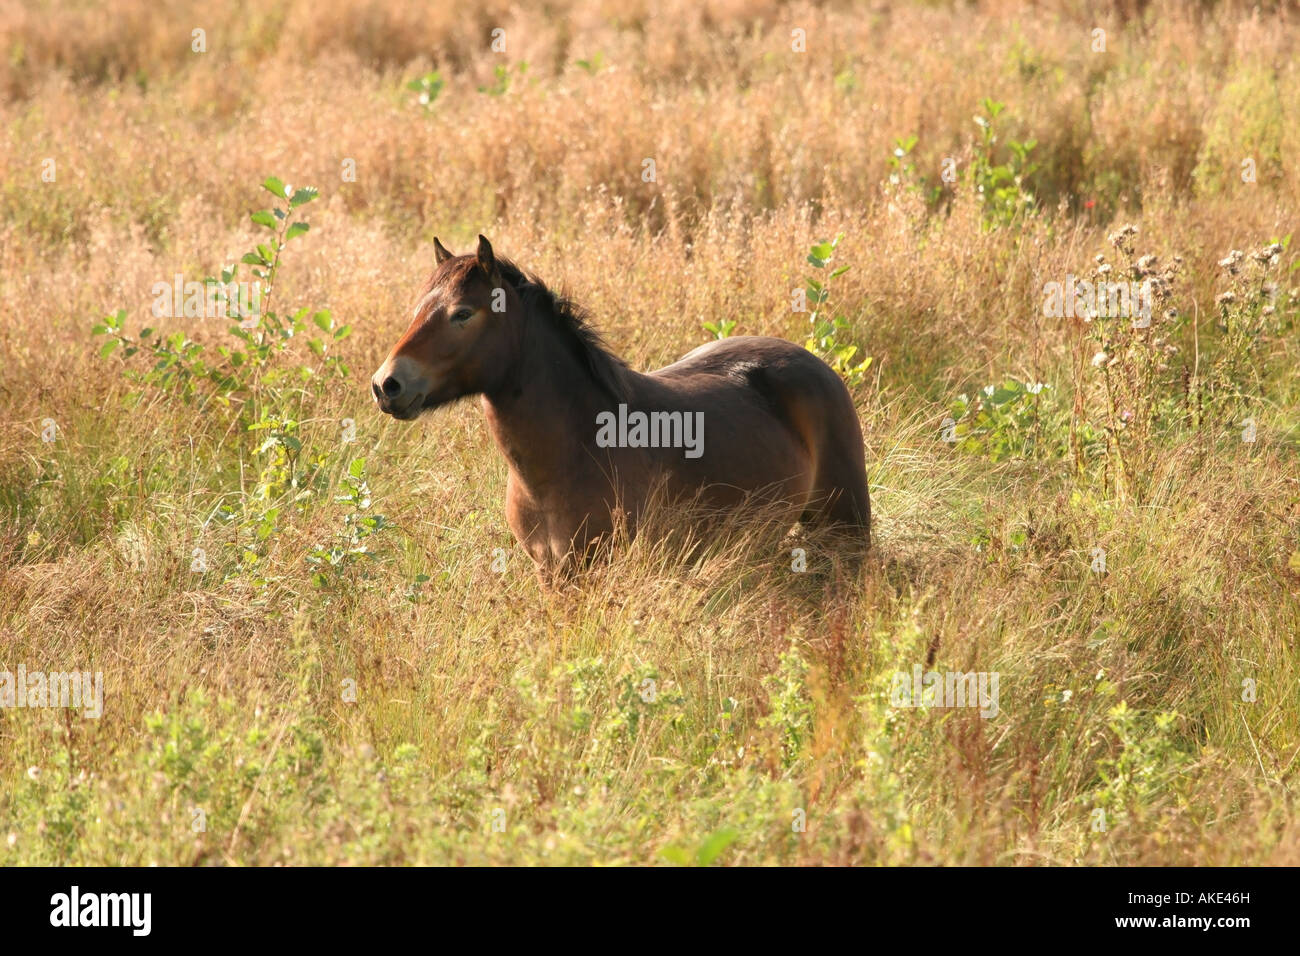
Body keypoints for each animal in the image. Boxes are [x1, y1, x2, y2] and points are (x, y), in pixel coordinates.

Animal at [371, 235, 871, 577]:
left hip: (845, 528)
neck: (577, 448)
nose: (386, 384)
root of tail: (817, 365)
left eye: (462, 313)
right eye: (418, 308)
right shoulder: (552, 574)